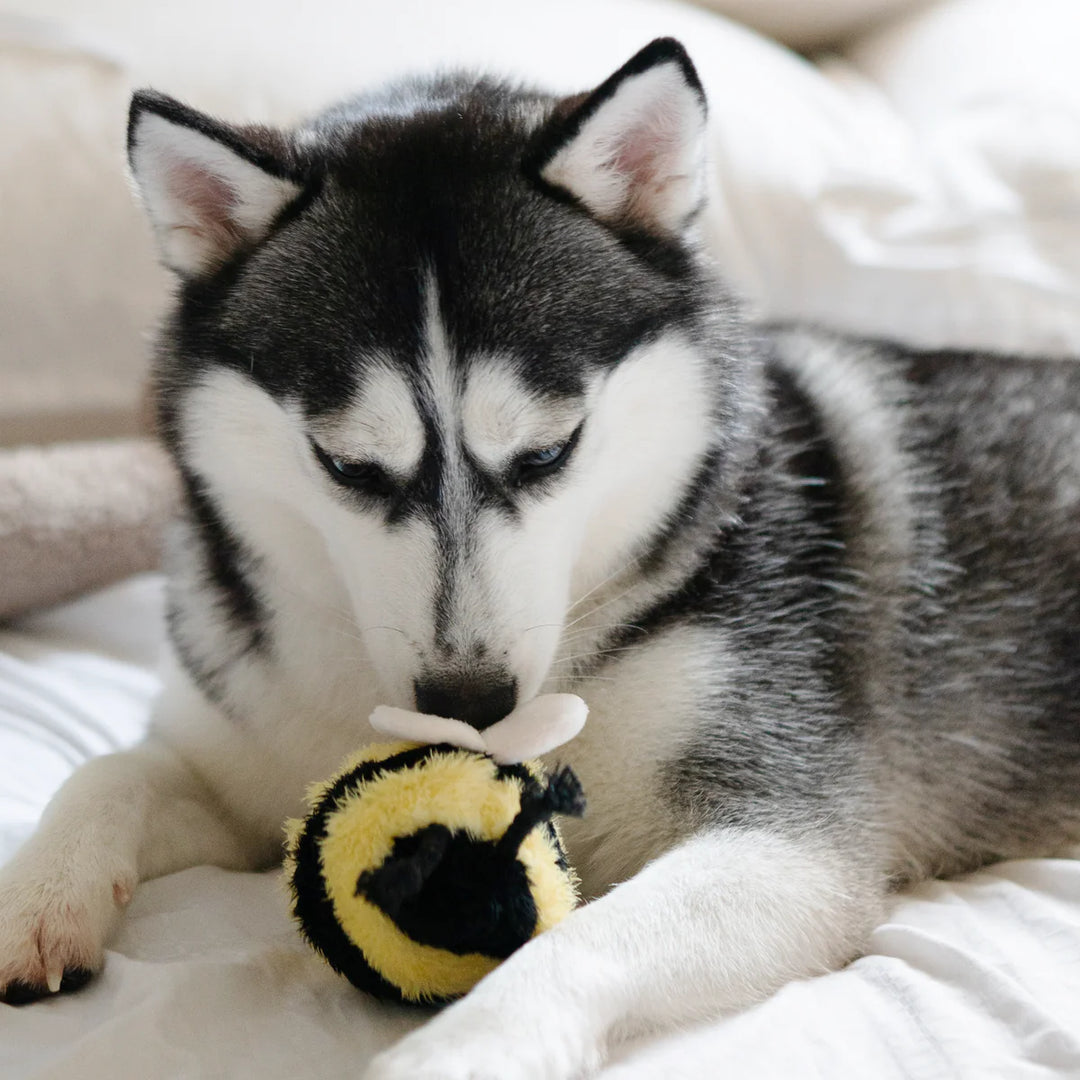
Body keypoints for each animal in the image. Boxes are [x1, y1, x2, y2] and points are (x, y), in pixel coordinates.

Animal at [2, 35, 1080, 1080]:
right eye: (347, 465)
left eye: (548, 452)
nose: (471, 701)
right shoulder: (245, 755)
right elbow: (111, 772)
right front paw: (37, 896)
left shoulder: (786, 833)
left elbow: (592, 938)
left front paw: (464, 1050)